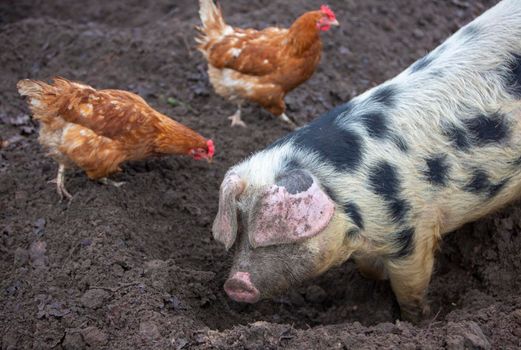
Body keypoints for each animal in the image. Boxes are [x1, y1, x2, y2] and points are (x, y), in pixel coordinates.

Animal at [212, 0, 521, 322]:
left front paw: (418, 319)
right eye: (239, 228)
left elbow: (411, 287)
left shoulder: (413, 232)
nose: (235, 284)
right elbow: (368, 268)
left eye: (273, 237)